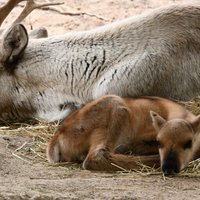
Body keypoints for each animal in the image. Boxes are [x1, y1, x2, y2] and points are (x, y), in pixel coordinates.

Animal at [46, 94, 200, 174]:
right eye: (159, 142)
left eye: (188, 142)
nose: (169, 167)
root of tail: (57, 136)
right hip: (115, 110)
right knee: (95, 157)